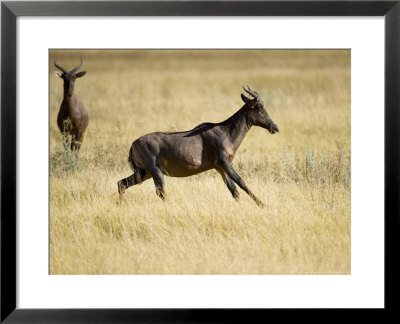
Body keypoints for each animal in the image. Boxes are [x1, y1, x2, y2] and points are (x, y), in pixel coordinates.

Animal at [117, 86, 278, 206]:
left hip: (144, 172)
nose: (274, 127)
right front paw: (263, 205)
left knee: (122, 183)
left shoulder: (218, 167)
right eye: (258, 106)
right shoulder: (224, 163)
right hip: (155, 171)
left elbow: (233, 190)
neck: (224, 130)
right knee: (160, 191)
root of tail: (133, 144)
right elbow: (241, 182)